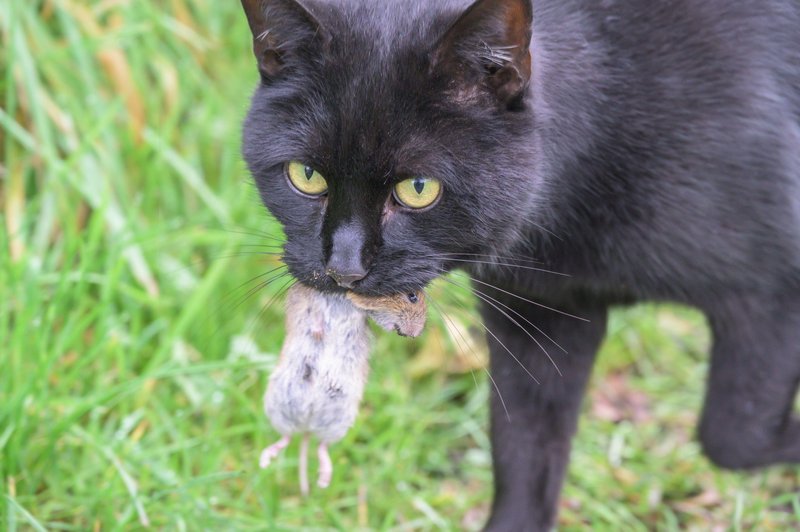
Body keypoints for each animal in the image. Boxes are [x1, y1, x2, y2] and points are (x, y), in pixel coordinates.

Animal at [239, 0, 800, 528]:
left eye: (418, 188)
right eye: (306, 175)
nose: (343, 267)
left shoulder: (770, 292)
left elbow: (732, 433)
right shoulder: (539, 316)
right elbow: (523, 453)